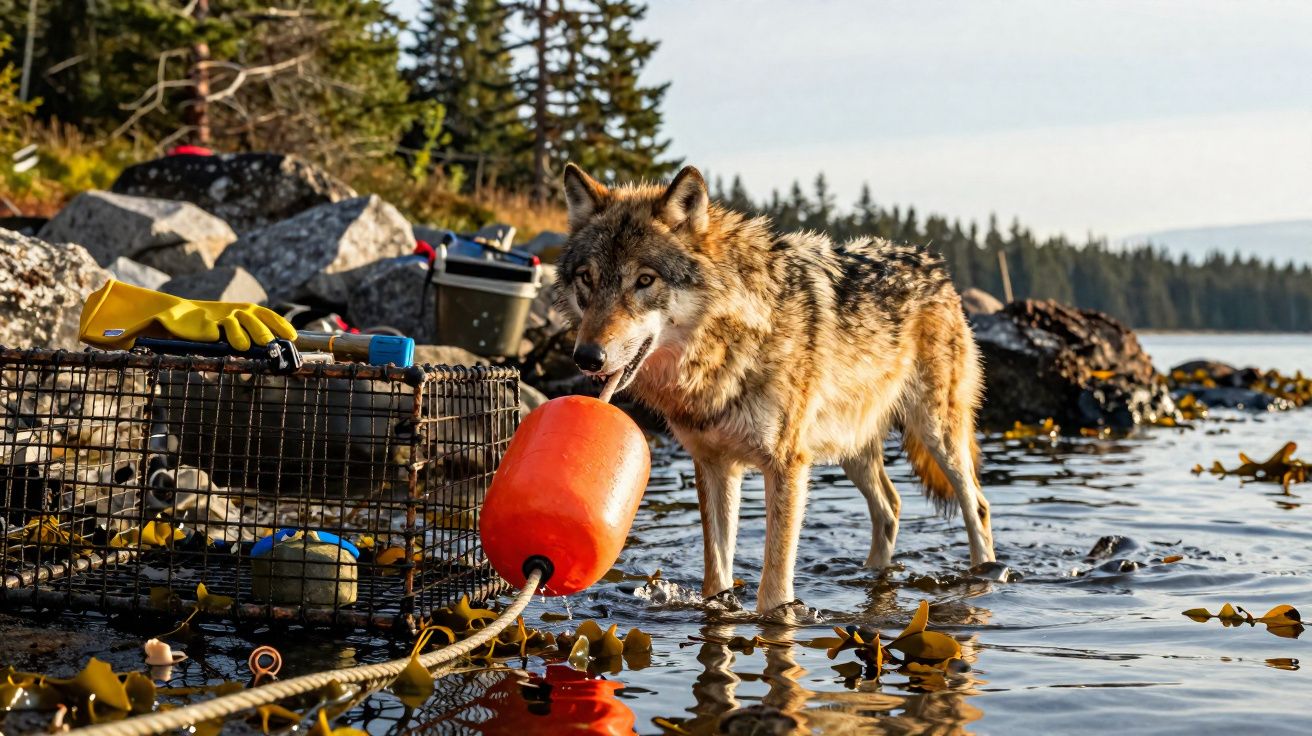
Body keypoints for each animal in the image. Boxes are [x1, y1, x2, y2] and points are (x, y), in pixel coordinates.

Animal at [555, 163, 996, 613]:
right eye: (587, 279)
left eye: (645, 280)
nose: (587, 357)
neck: (727, 348)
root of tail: (934, 264)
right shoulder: (714, 465)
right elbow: (717, 575)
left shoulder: (786, 464)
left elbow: (774, 588)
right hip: (849, 446)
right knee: (890, 506)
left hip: (937, 433)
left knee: (976, 505)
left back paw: (986, 576)